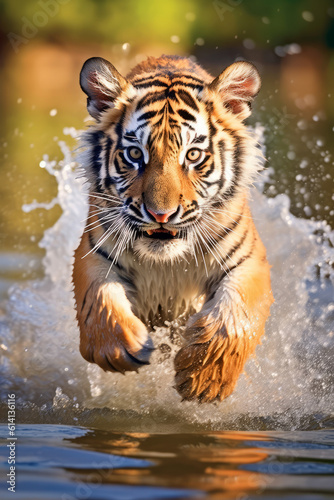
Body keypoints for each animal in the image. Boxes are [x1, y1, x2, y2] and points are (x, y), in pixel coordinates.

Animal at [72, 52, 272, 402]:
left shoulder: (248, 261)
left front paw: (203, 379)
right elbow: (100, 299)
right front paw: (123, 347)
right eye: (134, 153)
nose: (161, 215)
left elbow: (235, 316)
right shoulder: (94, 253)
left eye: (192, 155)